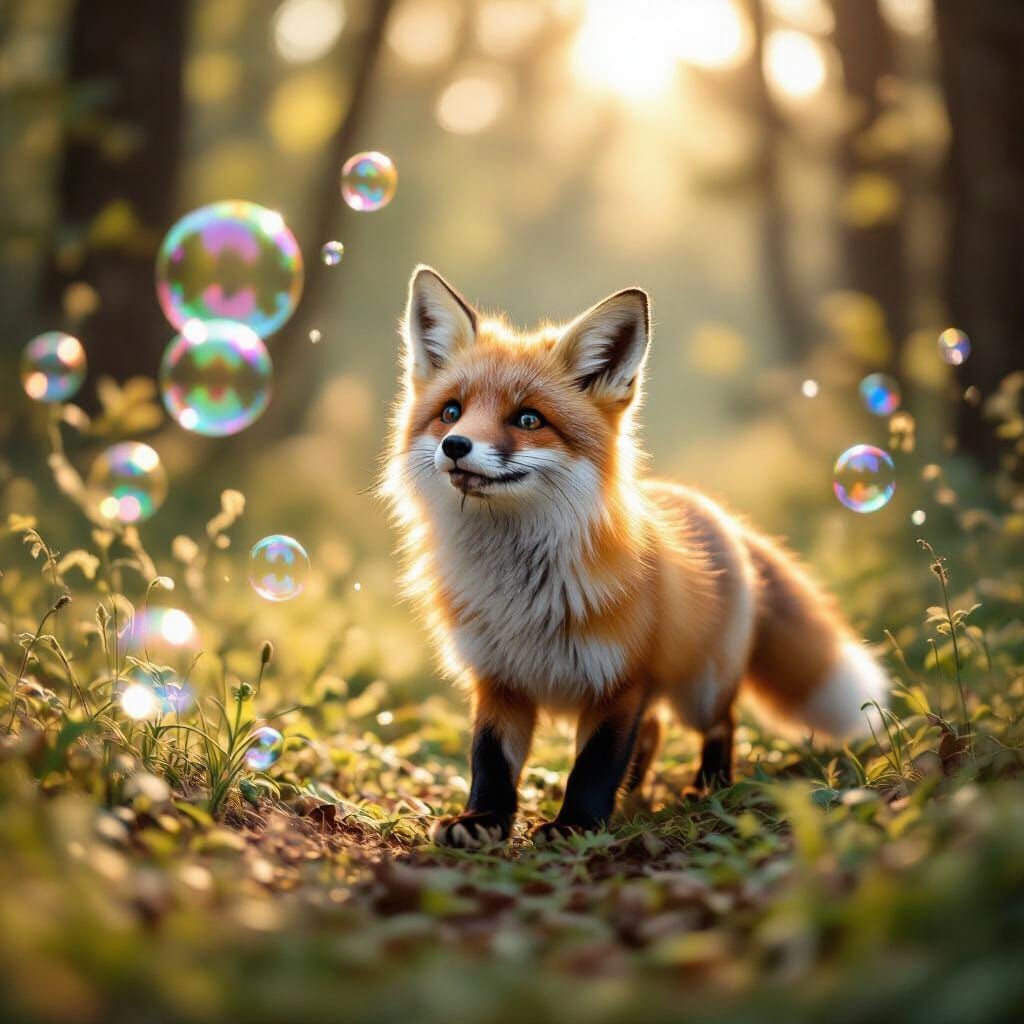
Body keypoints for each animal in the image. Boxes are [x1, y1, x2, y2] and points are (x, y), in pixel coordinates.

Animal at [382, 266, 888, 848]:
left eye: (528, 419)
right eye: (451, 413)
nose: (456, 446)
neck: (519, 591)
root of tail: (708, 507)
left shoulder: (619, 680)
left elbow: (594, 765)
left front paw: (575, 825)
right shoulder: (498, 679)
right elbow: (491, 761)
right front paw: (482, 820)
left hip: (701, 690)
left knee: (719, 723)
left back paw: (707, 786)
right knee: (654, 730)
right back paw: (635, 795)